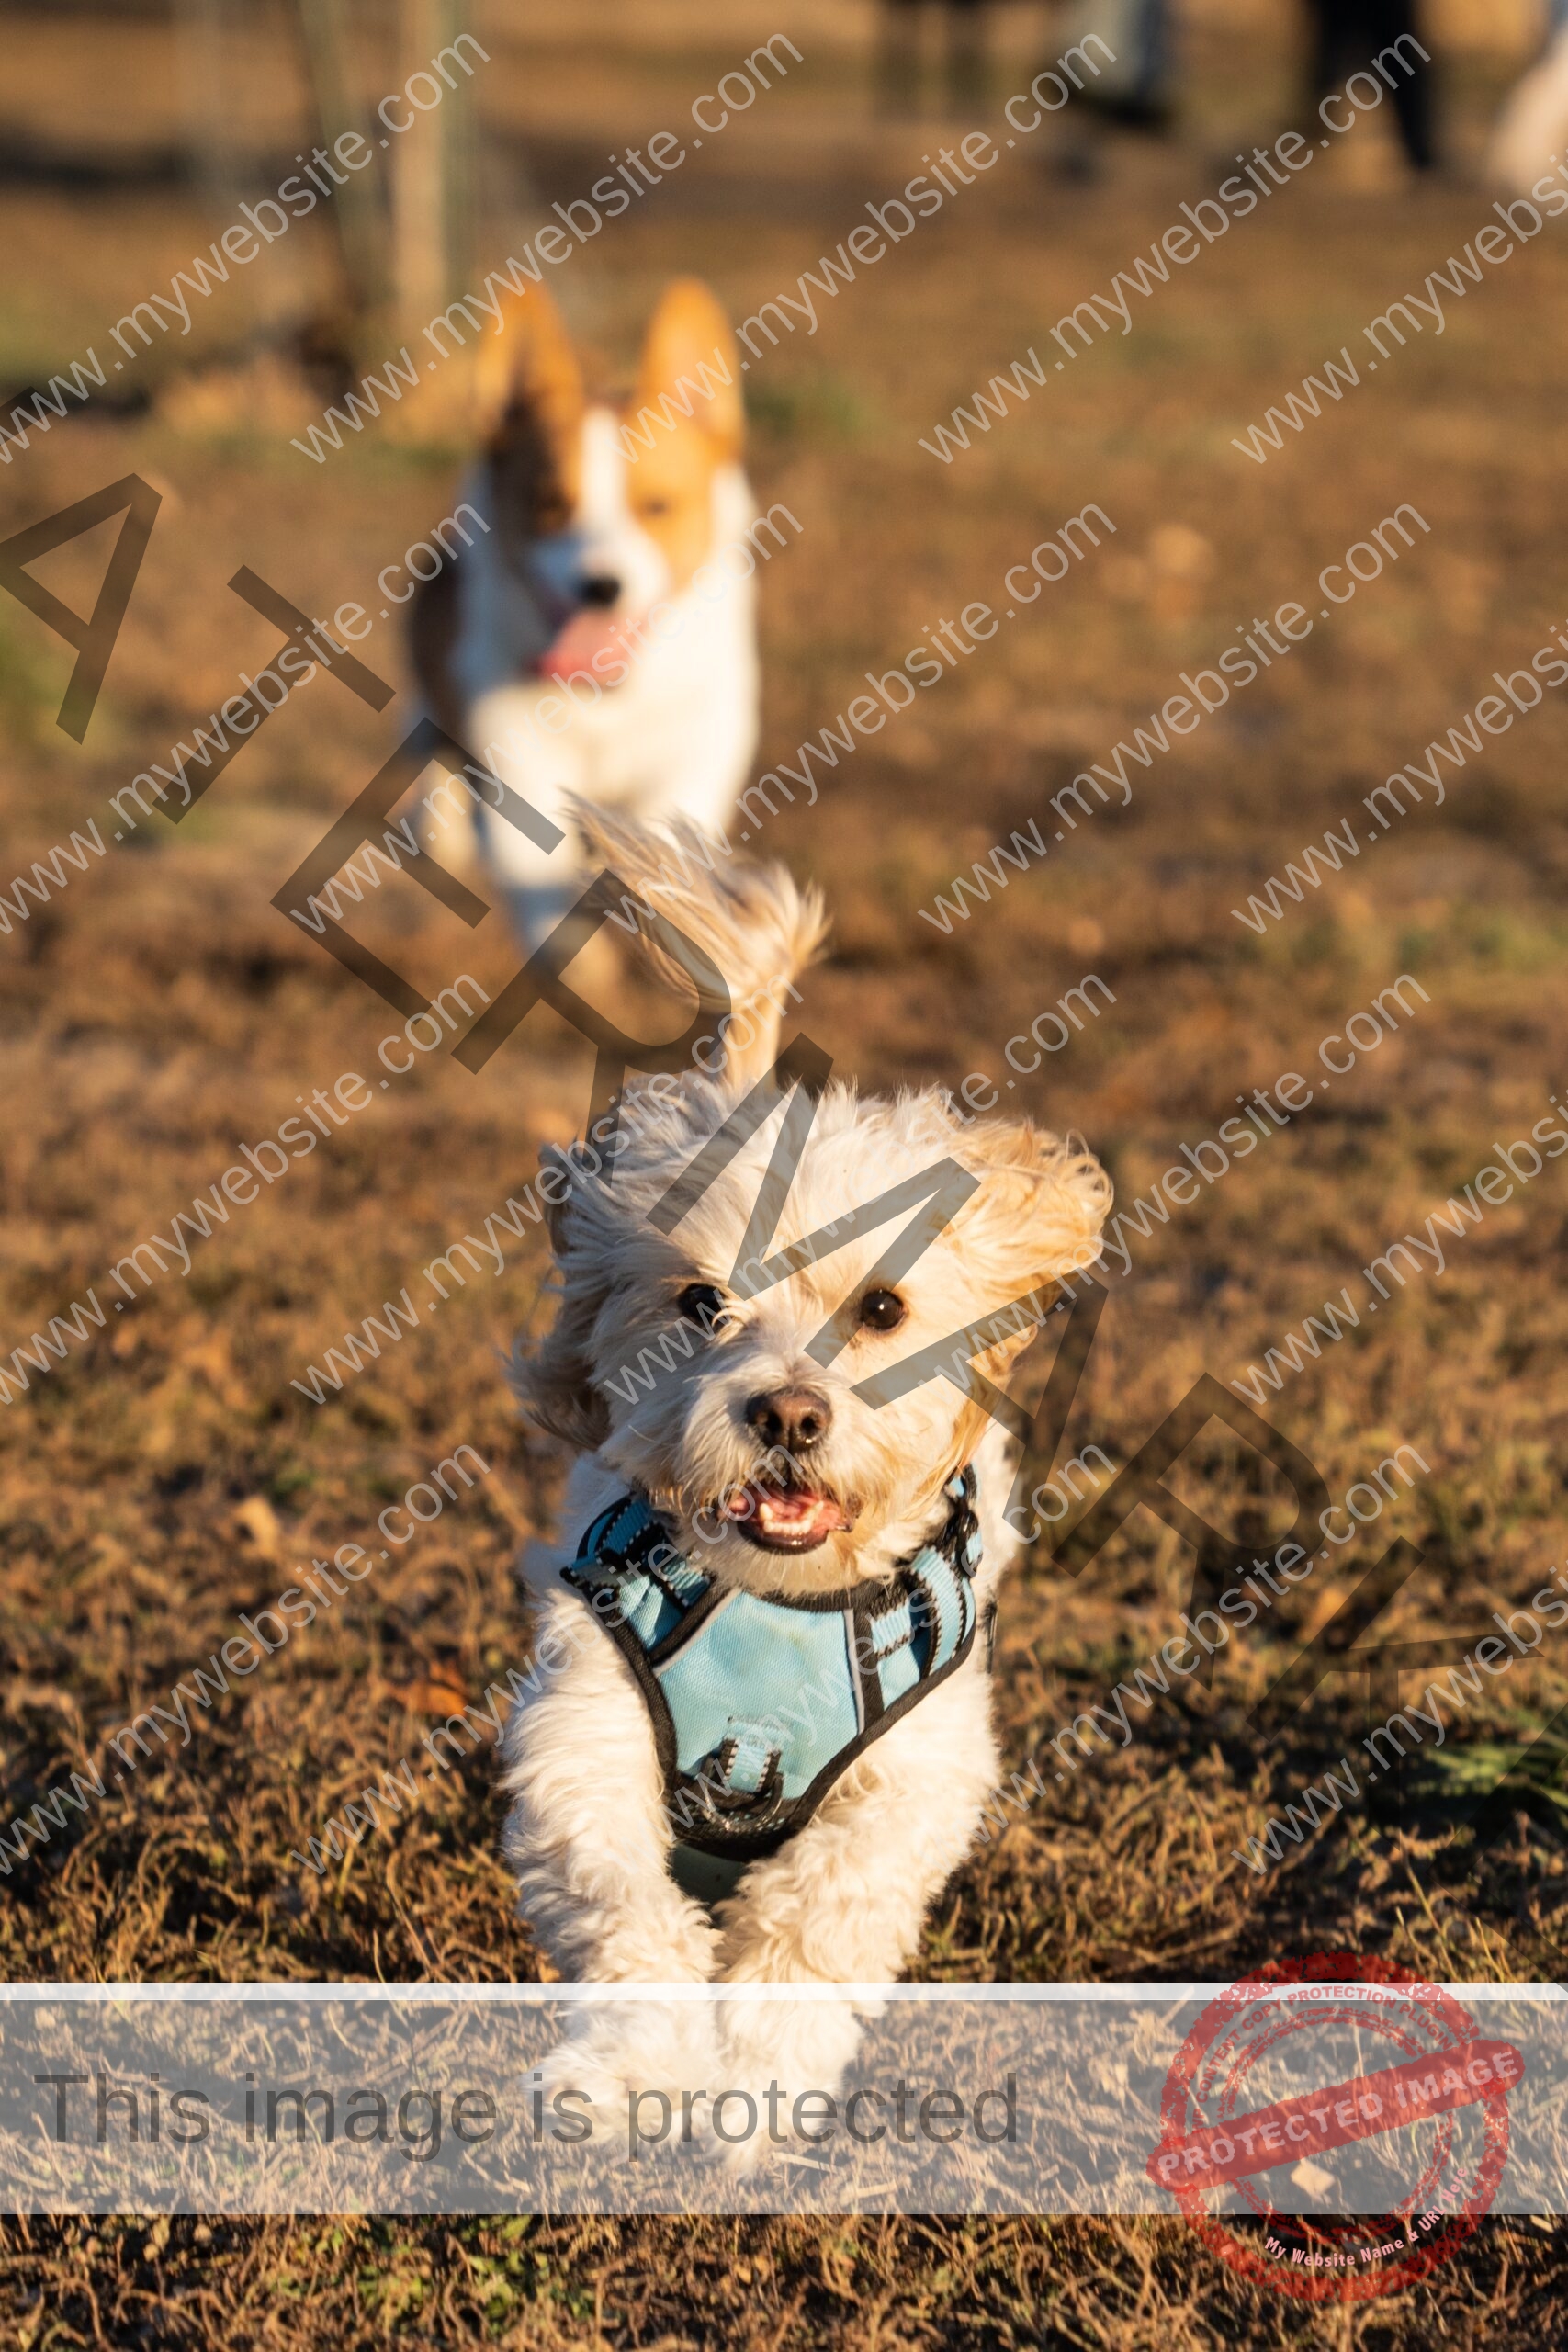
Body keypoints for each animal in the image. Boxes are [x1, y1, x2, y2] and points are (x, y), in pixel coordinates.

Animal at [501, 813, 1104, 2154]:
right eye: (699, 1303)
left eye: (880, 1309)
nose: (785, 1410)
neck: (779, 1602)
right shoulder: (585, 1728)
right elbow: (622, 1905)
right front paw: (630, 2068)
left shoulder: (919, 1768)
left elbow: (819, 1914)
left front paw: (758, 2076)